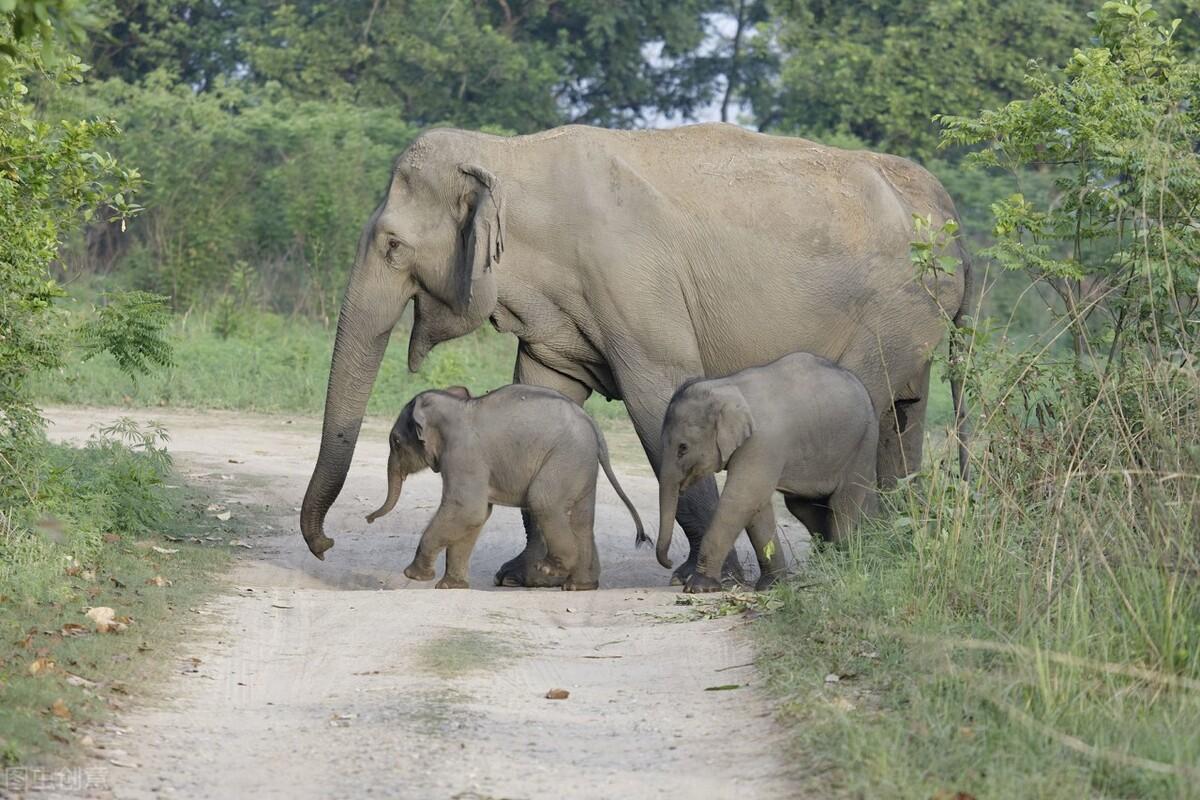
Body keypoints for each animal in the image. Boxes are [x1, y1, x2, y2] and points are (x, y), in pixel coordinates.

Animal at [369, 383, 648, 592]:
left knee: (543, 501)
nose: (369, 519)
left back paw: (550, 568)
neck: (457, 405)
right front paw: (450, 586)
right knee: (581, 519)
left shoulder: (463, 454)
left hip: (564, 458)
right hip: (581, 466)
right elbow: (477, 516)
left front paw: (415, 576)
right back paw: (579, 586)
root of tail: (593, 426)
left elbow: (467, 509)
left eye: (395, 441)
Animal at [657, 352, 883, 592]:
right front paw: (771, 586)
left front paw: (699, 586)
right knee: (804, 506)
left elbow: (741, 499)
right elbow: (757, 507)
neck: (725, 386)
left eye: (683, 448)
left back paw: (839, 567)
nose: (668, 562)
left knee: (842, 504)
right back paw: (830, 564)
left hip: (863, 444)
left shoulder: (763, 442)